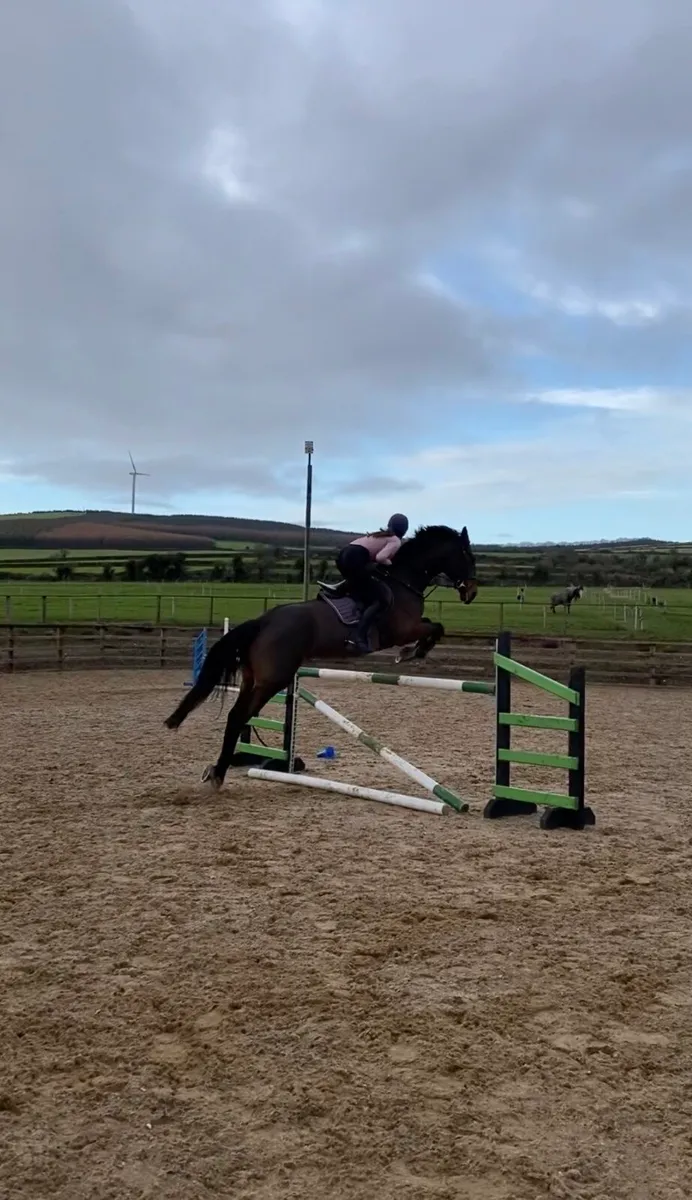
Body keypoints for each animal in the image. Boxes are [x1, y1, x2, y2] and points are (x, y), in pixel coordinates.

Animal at [164, 524, 478, 789]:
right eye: (466, 555)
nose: (472, 593)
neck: (404, 580)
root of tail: (264, 620)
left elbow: (434, 625)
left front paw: (412, 652)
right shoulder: (403, 629)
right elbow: (436, 628)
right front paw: (411, 653)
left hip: (252, 679)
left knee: (235, 716)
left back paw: (218, 771)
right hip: (273, 680)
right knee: (240, 716)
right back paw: (219, 774)